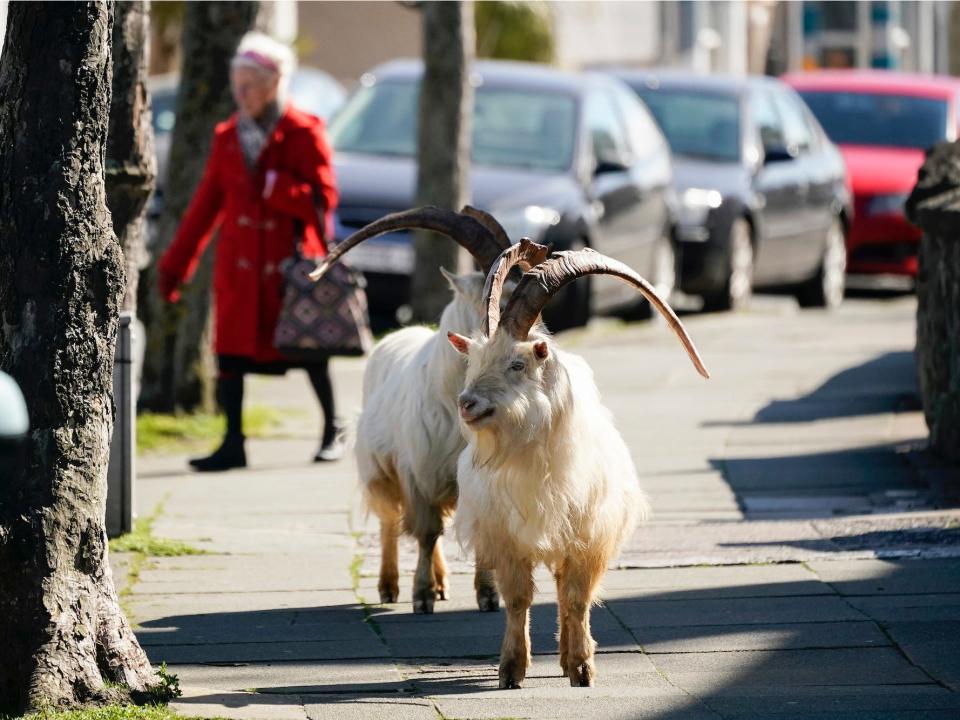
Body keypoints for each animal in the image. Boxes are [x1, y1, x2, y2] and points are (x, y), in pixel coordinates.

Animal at [446, 248, 708, 688]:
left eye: (518, 364)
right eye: (474, 360)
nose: (467, 403)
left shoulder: (590, 534)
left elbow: (577, 597)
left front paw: (583, 667)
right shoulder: (507, 537)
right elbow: (518, 598)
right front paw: (511, 669)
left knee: (566, 592)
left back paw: (569, 659)